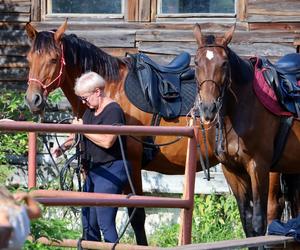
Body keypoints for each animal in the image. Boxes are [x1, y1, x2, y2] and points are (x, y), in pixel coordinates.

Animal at [24, 20, 219, 245]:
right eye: (29, 58)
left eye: (54, 59)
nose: (33, 100)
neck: (111, 89)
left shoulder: (131, 165)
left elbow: (137, 215)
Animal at [193, 23, 300, 236]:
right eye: (196, 62)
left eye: (224, 63)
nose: (208, 108)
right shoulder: (231, 170)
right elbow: (247, 222)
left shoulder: (258, 166)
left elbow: (258, 222)